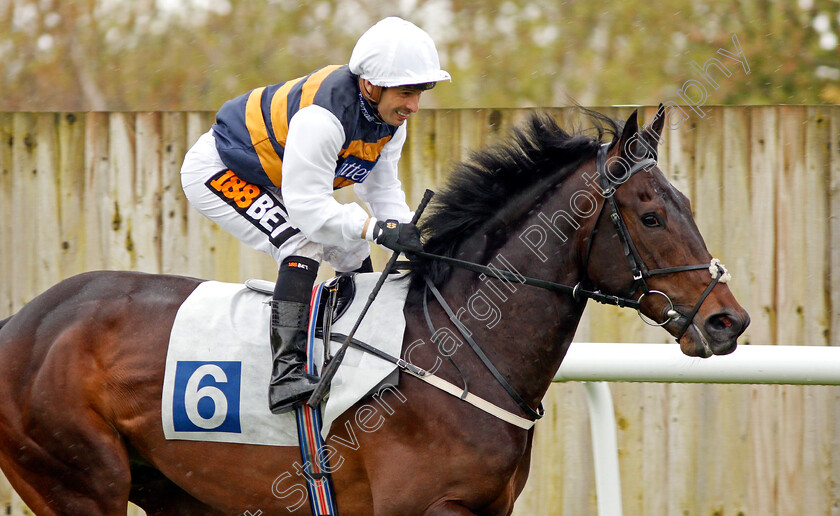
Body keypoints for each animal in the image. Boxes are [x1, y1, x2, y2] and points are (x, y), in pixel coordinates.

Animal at [0, 106, 748, 516]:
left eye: (685, 205)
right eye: (651, 215)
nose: (727, 321)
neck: (454, 349)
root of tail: (21, 323)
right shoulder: (424, 507)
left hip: (176, 492)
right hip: (77, 481)